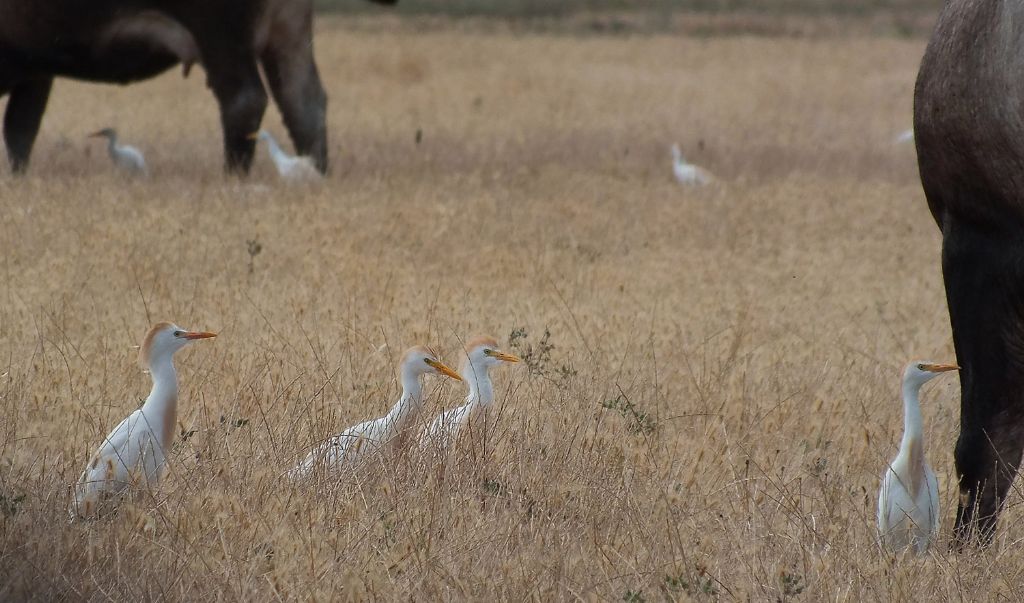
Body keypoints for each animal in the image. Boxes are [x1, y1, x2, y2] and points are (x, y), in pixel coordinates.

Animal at [0, 0, 393, 174]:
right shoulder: (37, 71)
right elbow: (20, 132)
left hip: (222, 36)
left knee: (244, 100)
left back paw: (234, 176)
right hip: (287, 32)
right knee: (303, 103)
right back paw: (313, 170)